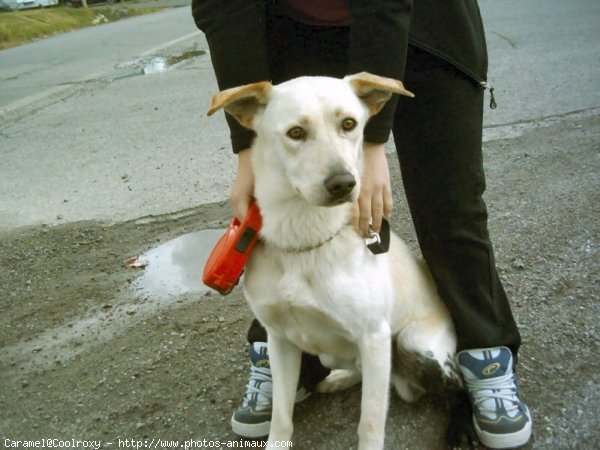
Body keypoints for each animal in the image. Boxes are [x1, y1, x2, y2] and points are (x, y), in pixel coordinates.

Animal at [209, 72, 462, 448]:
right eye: (296, 132)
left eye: (349, 124)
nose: (344, 183)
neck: (303, 238)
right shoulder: (279, 340)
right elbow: (281, 417)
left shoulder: (374, 338)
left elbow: (370, 424)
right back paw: (339, 378)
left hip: (413, 343)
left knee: (455, 387)